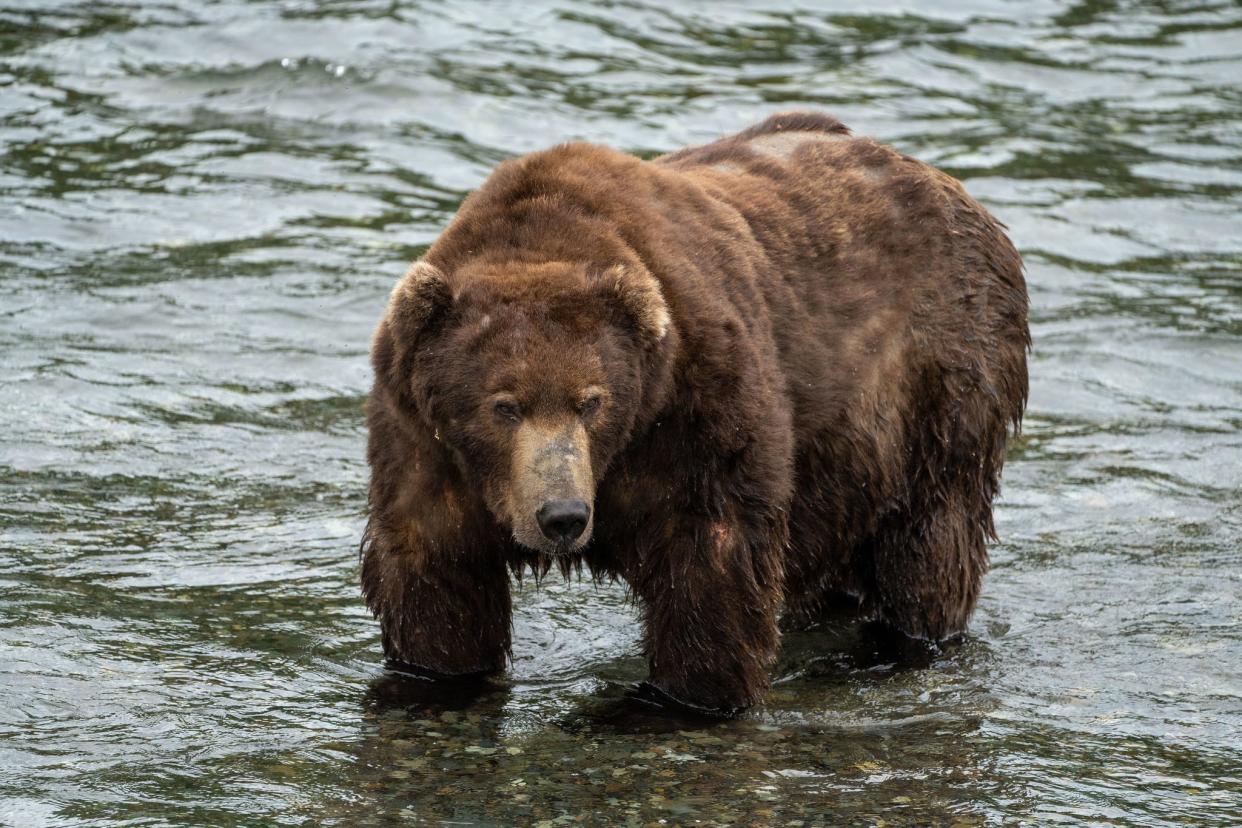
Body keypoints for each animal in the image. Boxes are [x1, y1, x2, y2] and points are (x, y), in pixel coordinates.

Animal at [360, 111, 1028, 715]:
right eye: (504, 406)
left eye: (592, 400)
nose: (563, 516)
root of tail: (952, 186)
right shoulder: (422, 441)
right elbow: (439, 580)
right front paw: (432, 681)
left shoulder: (699, 411)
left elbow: (712, 568)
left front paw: (674, 701)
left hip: (939, 384)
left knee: (930, 544)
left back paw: (899, 646)